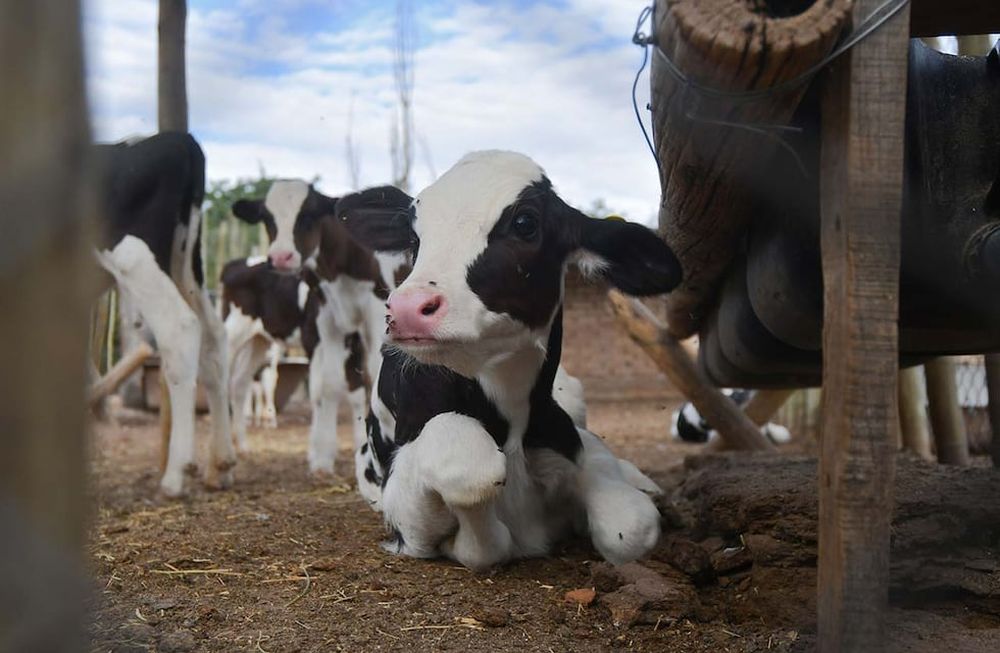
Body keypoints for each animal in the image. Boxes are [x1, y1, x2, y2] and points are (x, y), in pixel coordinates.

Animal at [93, 132, 235, 497]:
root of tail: (173, 139)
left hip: (136, 259)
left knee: (180, 328)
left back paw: (175, 473)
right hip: (186, 266)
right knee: (213, 337)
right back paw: (220, 463)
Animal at [336, 150, 682, 570]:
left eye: (525, 223)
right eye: (416, 238)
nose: (406, 308)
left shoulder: (567, 440)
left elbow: (631, 527)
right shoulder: (406, 517)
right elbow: (473, 480)